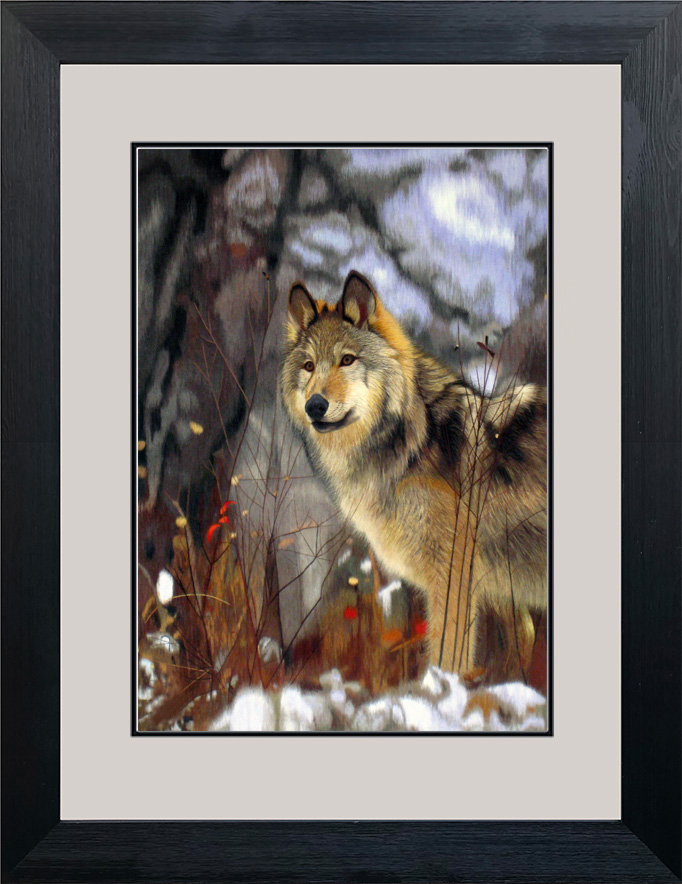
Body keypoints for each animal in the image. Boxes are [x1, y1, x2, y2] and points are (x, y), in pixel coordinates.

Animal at [280, 271, 547, 682]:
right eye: (309, 366)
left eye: (347, 360)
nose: (315, 405)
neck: (414, 444)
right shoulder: (497, 593)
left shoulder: (455, 580)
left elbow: (446, 660)